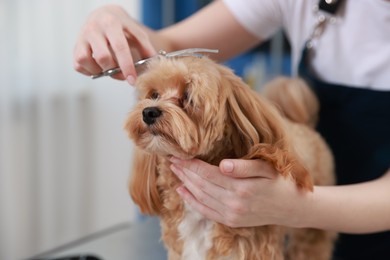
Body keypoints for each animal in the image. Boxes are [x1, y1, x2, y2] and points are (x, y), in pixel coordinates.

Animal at [124, 55, 336, 260]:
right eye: (154, 94)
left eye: (188, 96)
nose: (149, 112)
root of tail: (301, 123)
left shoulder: (254, 249)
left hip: (310, 230)